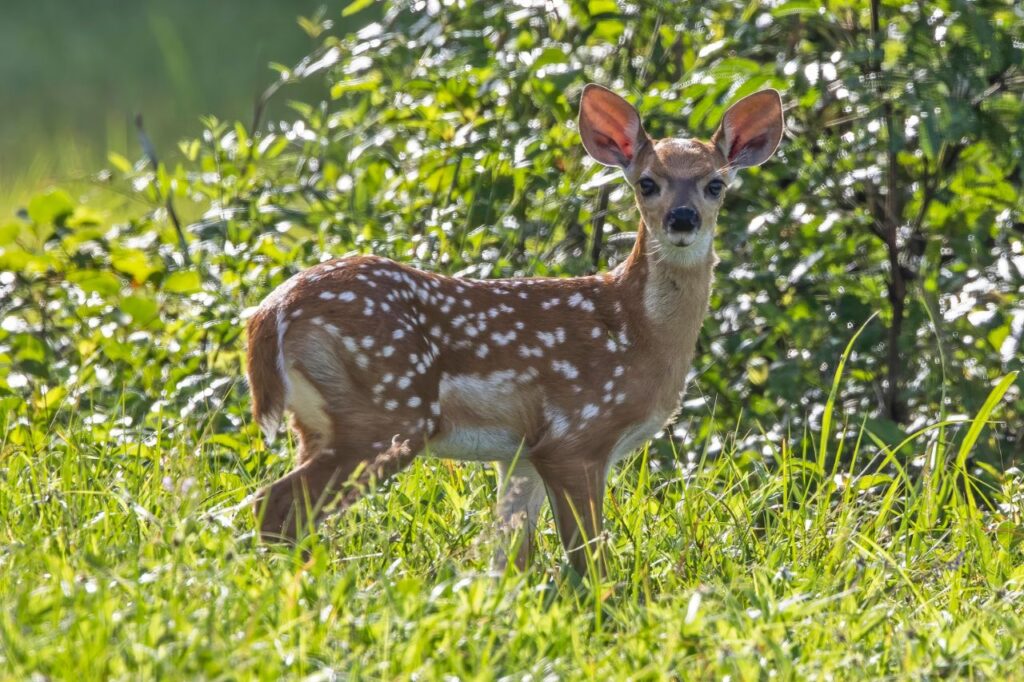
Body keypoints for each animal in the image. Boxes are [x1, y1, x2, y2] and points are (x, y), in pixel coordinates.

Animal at [246, 84, 784, 575]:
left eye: (716, 184)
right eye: (647, 183)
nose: (683, 218)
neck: (639, 333)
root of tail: (272, 311)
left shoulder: (521, 452)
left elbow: (507, 559)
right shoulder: (576, 436)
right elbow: (590, 559)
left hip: (321, 421)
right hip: (385, 412)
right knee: (274, 505)